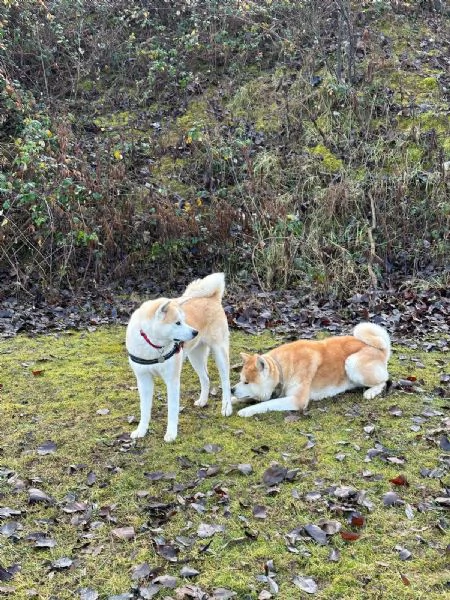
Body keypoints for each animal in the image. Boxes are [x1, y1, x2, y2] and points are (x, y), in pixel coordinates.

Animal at [125, 272, 232, 440]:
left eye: (183, 320)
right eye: (177, 323)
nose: (195, 332)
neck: (153, 345)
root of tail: (212, 298)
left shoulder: (172, 380)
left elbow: (172, 410)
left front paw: (171, 433)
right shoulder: (143, 380)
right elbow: (144, 410)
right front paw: (141, 430)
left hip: (219, 352)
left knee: (226, 382)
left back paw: (227, 407)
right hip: (195, 356)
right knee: (205, 378)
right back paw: (203, 401)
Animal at [232, 324, 390, 418]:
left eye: (246, 382)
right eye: (240, 379)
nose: (232, 389)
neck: (282, 369)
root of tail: (380, 350)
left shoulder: (297, 400)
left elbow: (265, 404)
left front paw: (247, 410)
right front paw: (232, 400)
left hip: (352, 363)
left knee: (384, 380)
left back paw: (371, 392)